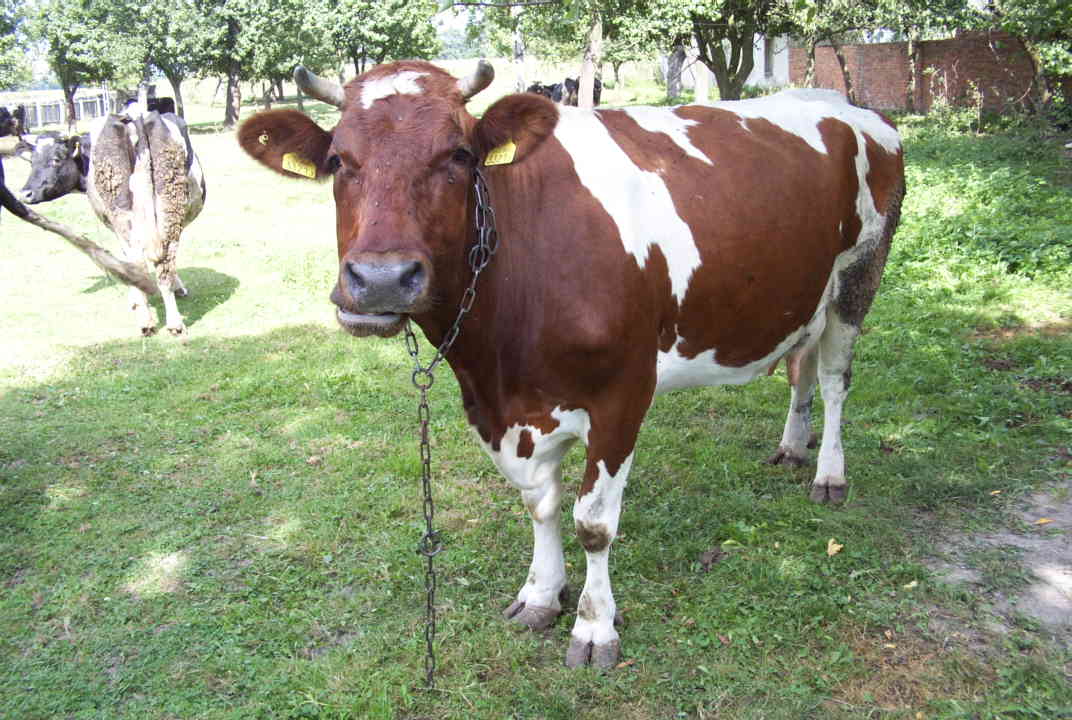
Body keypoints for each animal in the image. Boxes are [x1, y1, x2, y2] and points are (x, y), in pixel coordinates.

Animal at [19, 110, 204, 336]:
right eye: (31, 161)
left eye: (56, 159)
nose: (25, 193)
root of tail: (136, 118)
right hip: (166, 207)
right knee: (161, 261)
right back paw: (171, 322)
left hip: (124, 212)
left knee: (140, 259)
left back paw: (149, 321)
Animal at [236, 60, 904, 668]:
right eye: (337, 161)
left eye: (459, 155)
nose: (379, 281)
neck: (497, 358)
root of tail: (847, 104)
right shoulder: (504, 407)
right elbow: (540, 504)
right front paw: (540, 594)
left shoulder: (624, 393)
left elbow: (594, 521)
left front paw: (593, 626)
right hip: (804, 294)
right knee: (800, 366)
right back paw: (792, 445)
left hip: (857, 278)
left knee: (834, 379)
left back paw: (829, 473)